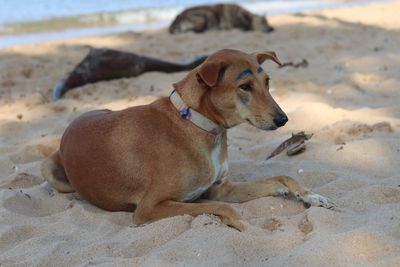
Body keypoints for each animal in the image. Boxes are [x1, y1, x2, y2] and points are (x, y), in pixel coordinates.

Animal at [41, 49, 334, 231]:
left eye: (267, 81)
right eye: (244, 87)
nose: (283, 119)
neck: (201, 126)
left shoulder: (222, 188)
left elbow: (282, 178)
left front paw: (310, 195)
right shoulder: (149, 208)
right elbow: (222, 208)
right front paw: (243, 225)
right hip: (49, 170)